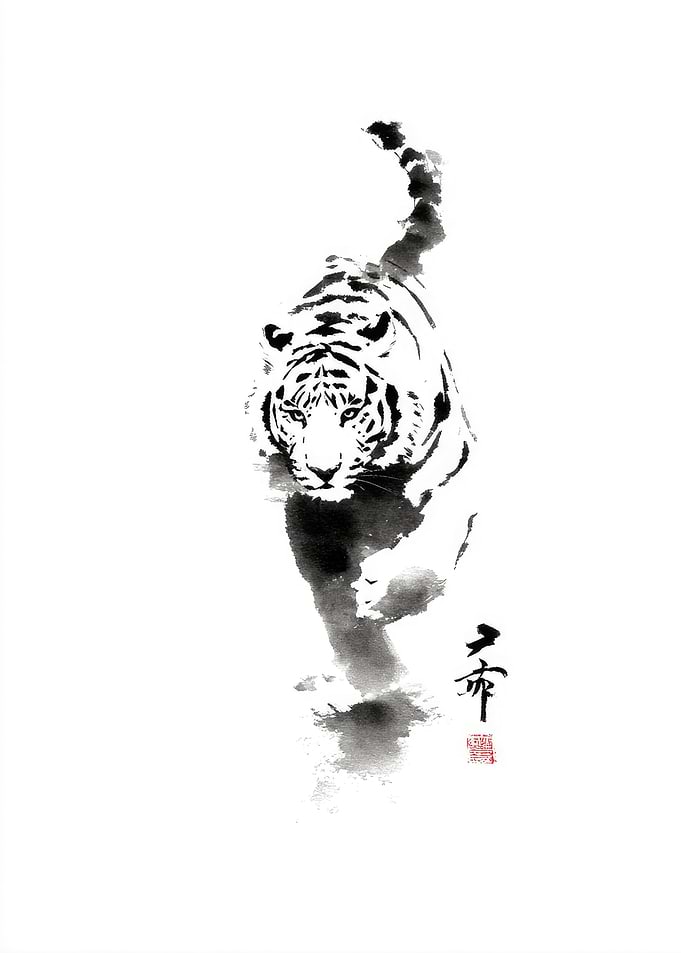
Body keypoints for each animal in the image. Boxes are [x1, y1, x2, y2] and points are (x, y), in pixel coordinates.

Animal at [248, 120, 478, 709]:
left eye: (352, 410)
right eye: (294, 412)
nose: (324, 471)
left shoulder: (455, 483)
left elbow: (431, 560)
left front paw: (384, 599)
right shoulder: (304, 513)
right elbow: (332, 599)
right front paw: (365, 672)